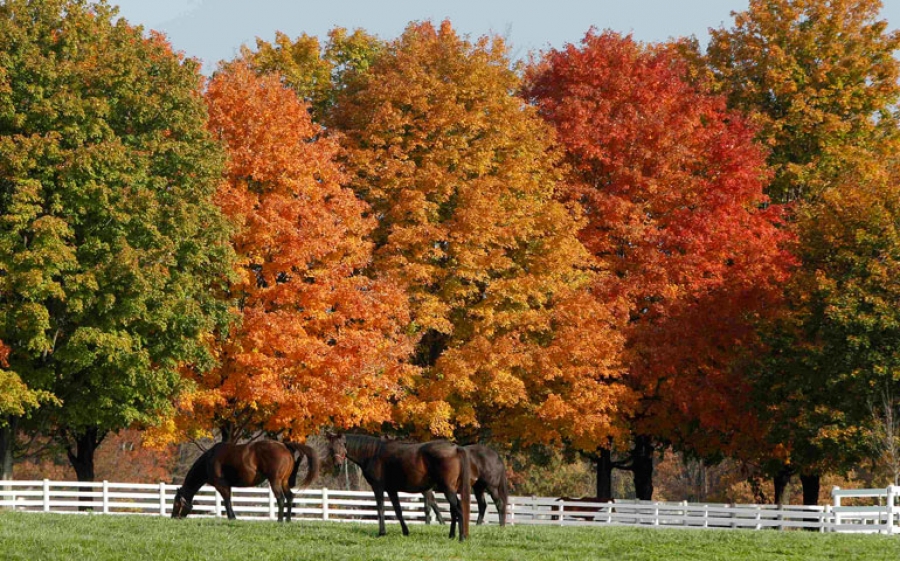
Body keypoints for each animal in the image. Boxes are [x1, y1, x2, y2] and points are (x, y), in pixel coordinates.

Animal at [171, 438, 320, 520]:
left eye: (176, 503)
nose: (173, 517)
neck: (209, 459)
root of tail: (284, 446)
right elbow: (228, 501)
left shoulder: (221, 485)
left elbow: (227, 501)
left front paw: (232, 518)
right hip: (283, 482)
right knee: (289, 497)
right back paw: (287, 520)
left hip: (275, 481)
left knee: (281, 499)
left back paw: (279, 520)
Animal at [326, 430, 474, 540]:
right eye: (331, 448)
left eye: (343, 444)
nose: (338, 465)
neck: (373, 453)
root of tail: (455, 448)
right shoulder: (391, 490)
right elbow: (398, 510)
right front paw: (405, 531)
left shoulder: (378, 487)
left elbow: (381, 508)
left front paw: (382, 533)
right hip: (449, 489)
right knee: (454, 510)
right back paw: (452, 535)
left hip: (448, 489)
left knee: (459, 510)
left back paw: (461, 537)